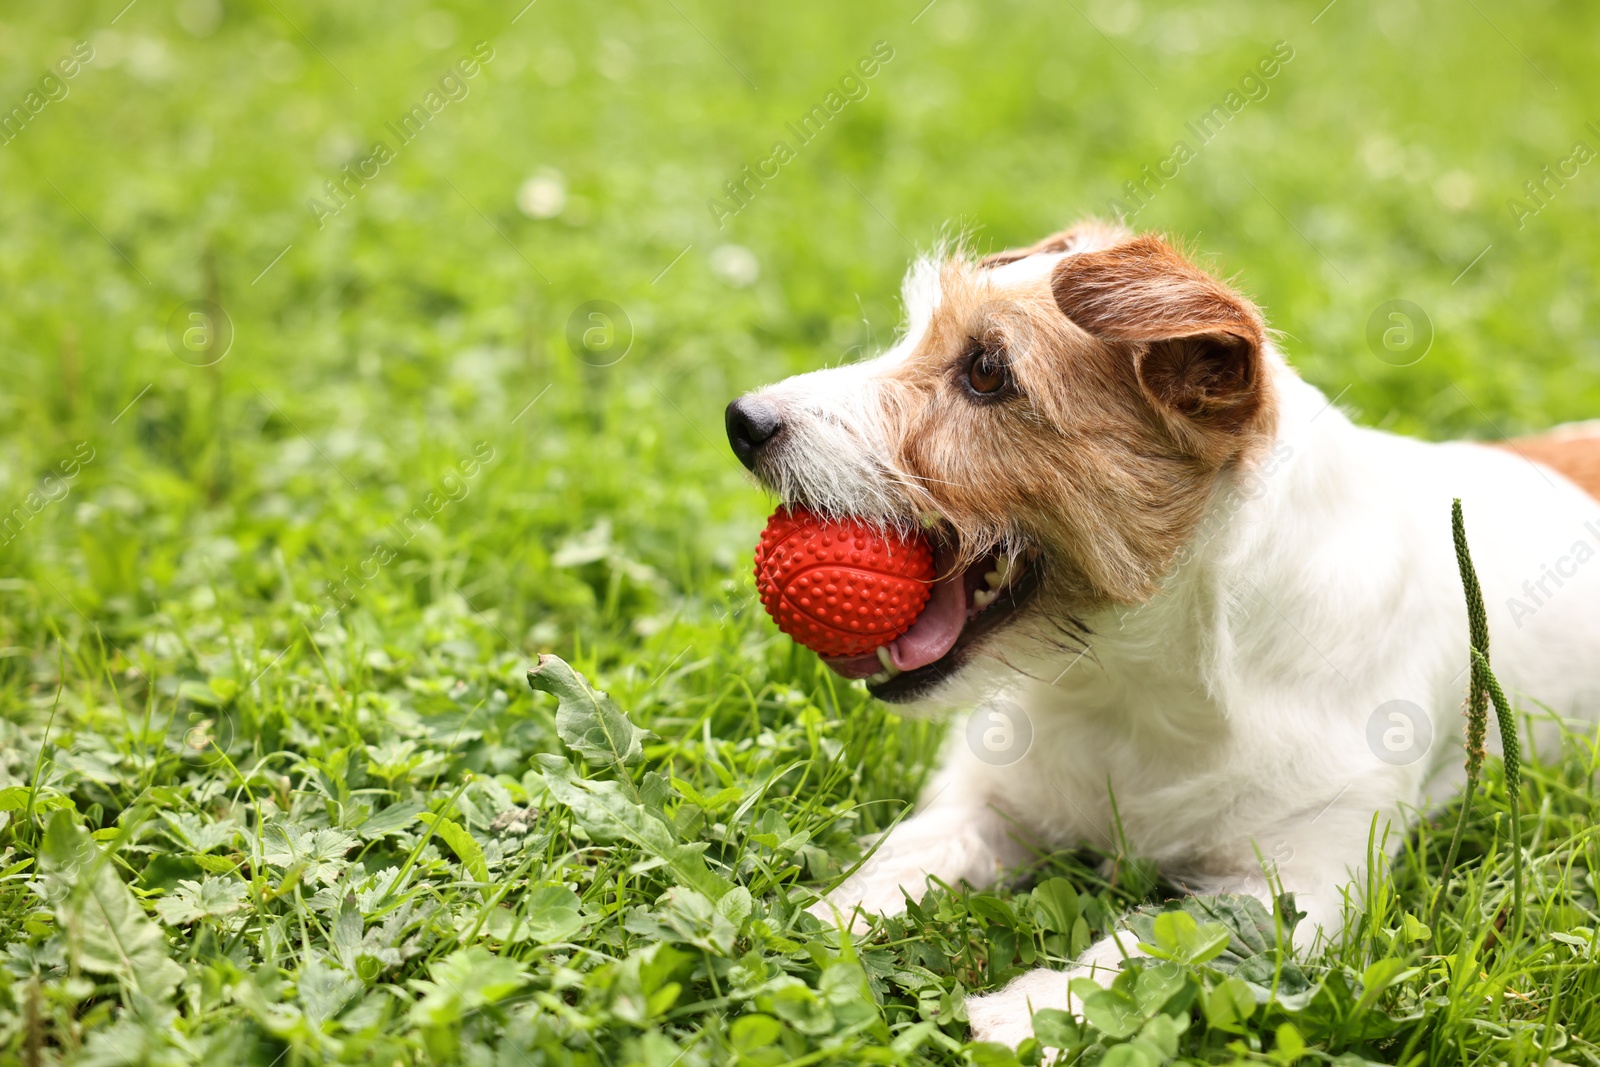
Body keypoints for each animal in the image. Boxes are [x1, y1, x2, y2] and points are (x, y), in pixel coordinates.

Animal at [729, 219, 1600, 1049]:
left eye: (986, 371)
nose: (744, 419)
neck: (1139, 680)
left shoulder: (1298, 887)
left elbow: (1153, 944)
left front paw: (1031, 1008)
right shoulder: (992, 799)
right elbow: (910, 851)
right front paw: (820, 916)